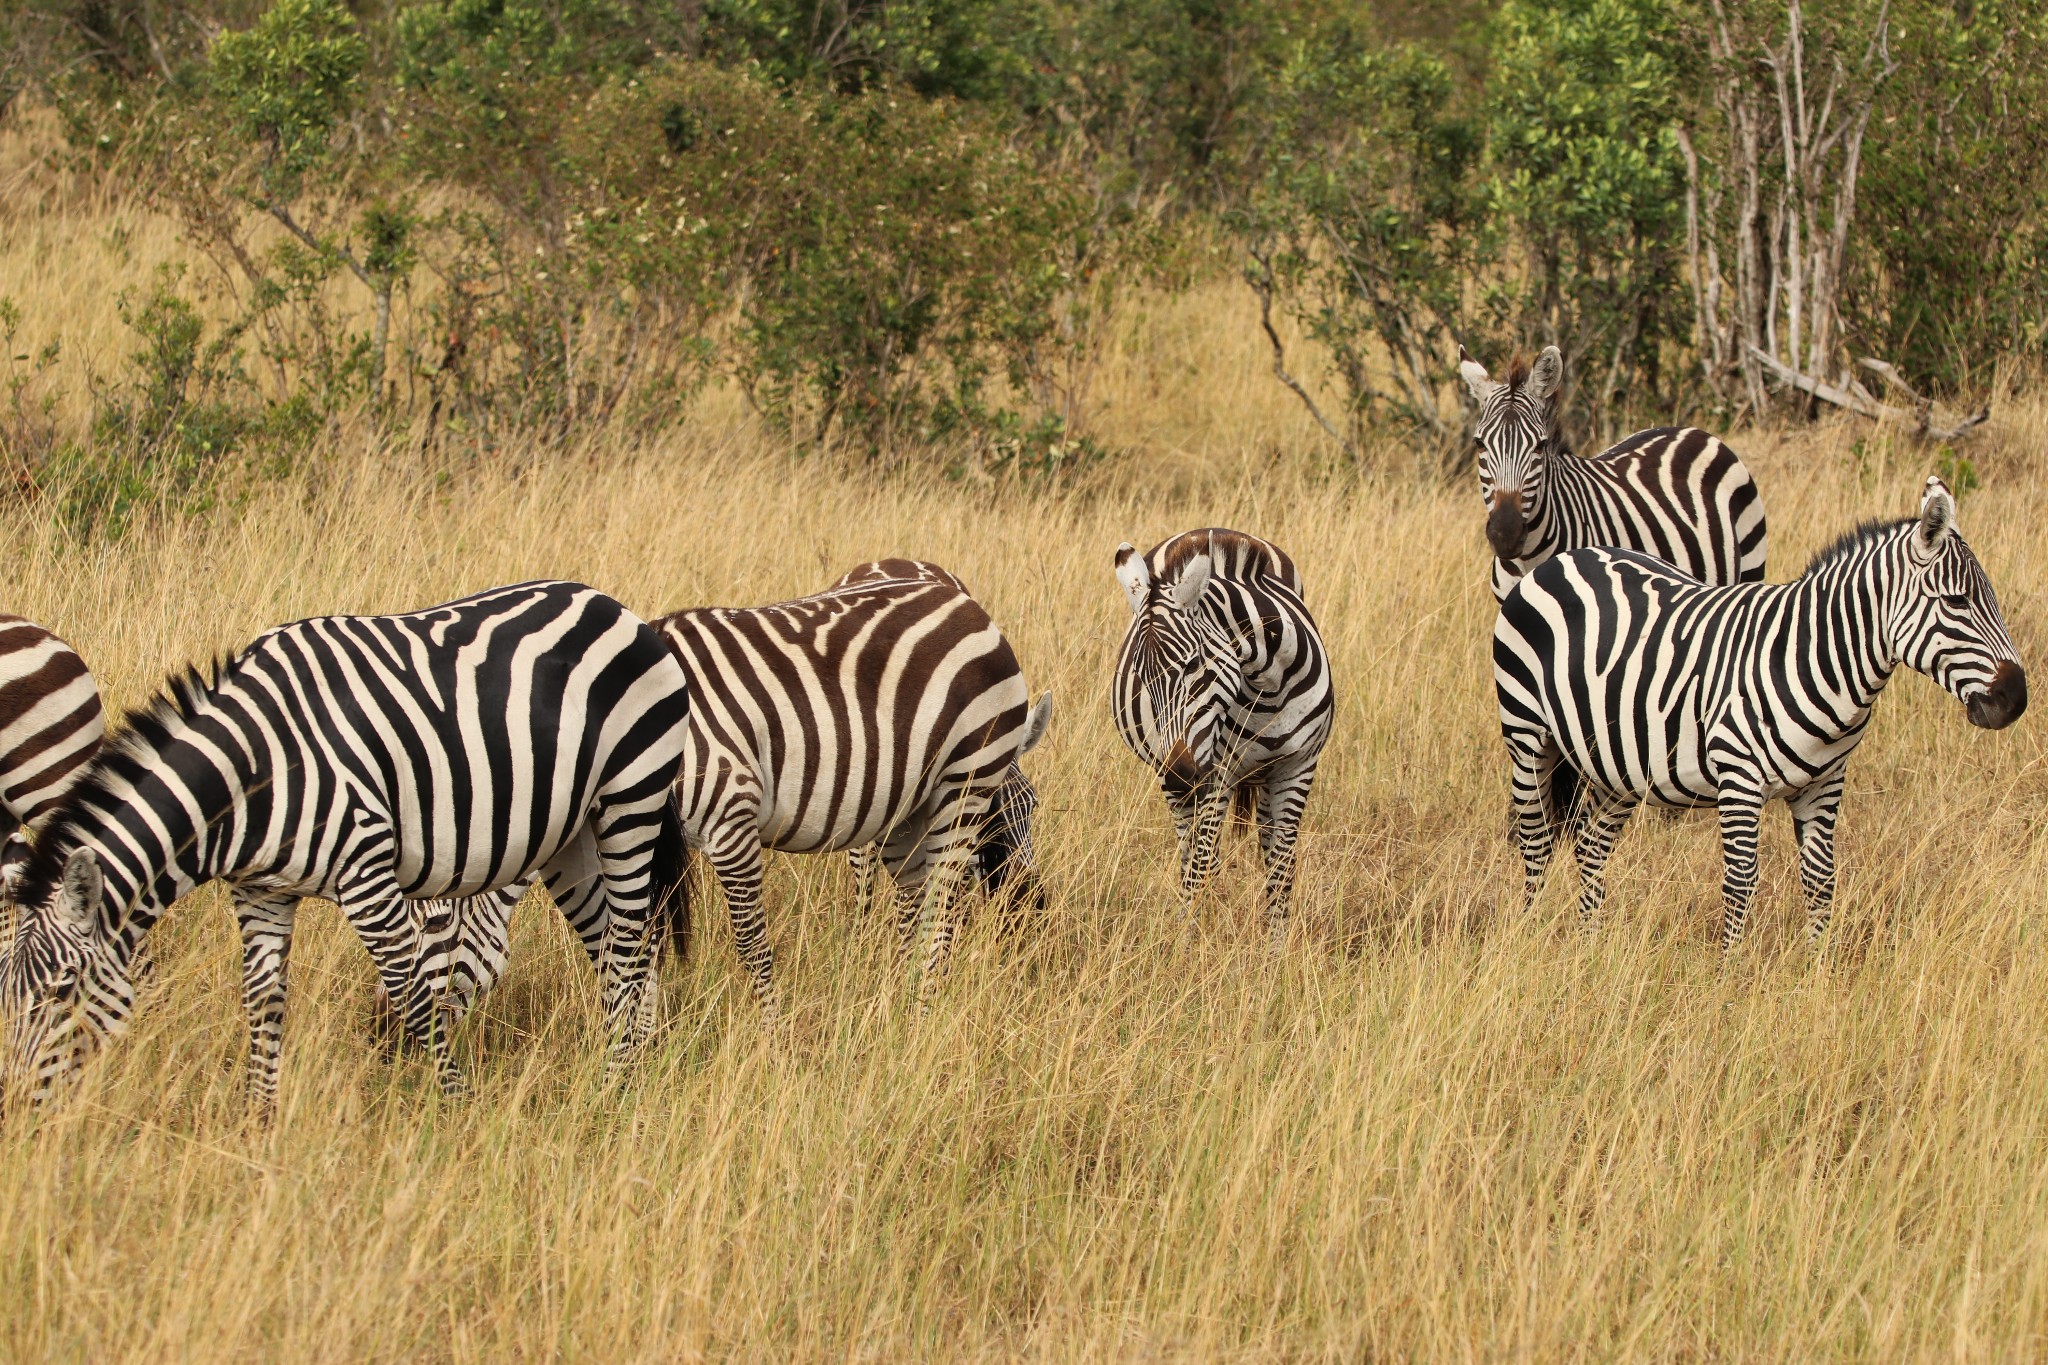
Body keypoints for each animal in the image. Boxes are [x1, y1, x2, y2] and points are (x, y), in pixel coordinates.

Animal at [0, 577, 688, 1113]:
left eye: (61, 992)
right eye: (6, 997)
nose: (17, 1109)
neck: (255, 774)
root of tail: (608, 602)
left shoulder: (367, 879)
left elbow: (414, 997)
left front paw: (452, 1111)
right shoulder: (259, 894)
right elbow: (263, 1003)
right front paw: (259, 1125)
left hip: (631, 800)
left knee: (630, 944)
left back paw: (616, 1086)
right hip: (570, 837)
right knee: (610, 947)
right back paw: (624, 1072)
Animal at [1114, 527, 1335, 949]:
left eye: (1192, 664)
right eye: (1140, 678)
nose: (1179, 775)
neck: (1269, 684)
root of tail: (1206, 531)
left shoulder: (1299, 766)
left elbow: (1282, 863)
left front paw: (1276, 950)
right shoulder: (1216, 771)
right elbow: (1200, 865)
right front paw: (1187, 943)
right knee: (1194, 851)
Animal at [1458, 343, 1777, 601]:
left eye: (1540, 445)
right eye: (1479, 443)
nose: (1505, 534)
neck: (1529, 557)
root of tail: (1691, 431)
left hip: (1751, 563)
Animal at [1499, 480, 2023, 949]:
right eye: (1957, 601)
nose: (2015, 698)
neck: (1810, 656)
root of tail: (1564, 558)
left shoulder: (1825, 782)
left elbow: (1820, 879)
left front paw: (1816, 969)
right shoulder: (1739, 778)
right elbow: (1741, 883)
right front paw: (1728, 973)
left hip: (1616, 760)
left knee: (1591, 843)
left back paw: (1589, 943)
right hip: (1527, 735)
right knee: (1536, 840)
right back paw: (1530, 936)